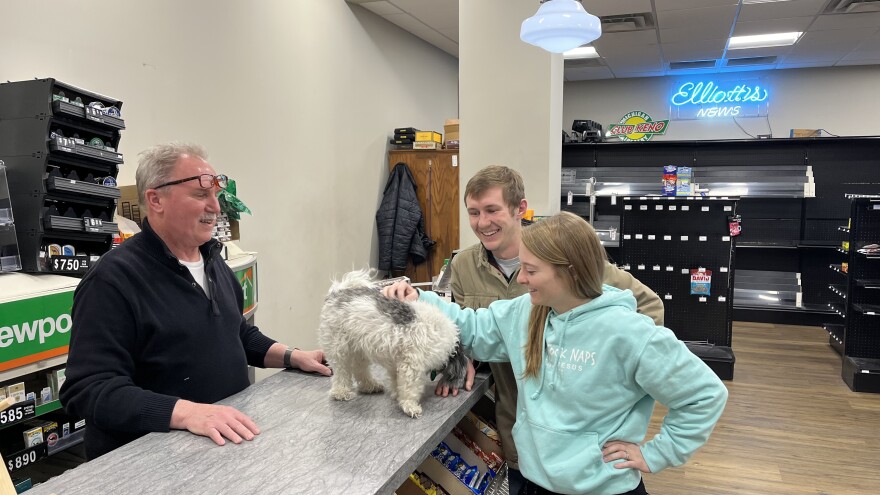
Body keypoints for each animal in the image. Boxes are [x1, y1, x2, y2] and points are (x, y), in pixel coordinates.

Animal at [320, 272, 470, 418]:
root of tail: (336, 291)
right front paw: (410, 406)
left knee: (359, 368)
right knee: (341, 370)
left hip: (359, 348)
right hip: (338, 347)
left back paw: (370, 385)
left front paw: (398, 395)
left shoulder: (397, 362)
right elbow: (410, 387)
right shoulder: (412, 363)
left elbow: (396, 380)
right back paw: (341, 392)